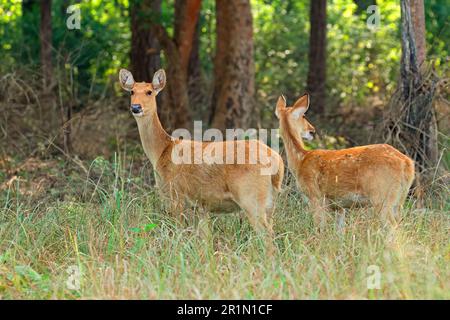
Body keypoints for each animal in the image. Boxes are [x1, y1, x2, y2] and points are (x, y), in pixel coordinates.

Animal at [118, 68, 284, 248]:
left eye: (149, 91)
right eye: (132, 91)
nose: (135, 107)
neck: (162, 151)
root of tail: (278, 161)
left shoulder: (175, 193)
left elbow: (178, 232)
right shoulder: (202, 205)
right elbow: (205, 240)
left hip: (251, 197)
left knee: (267, 236)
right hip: (271, 201)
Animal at [276, 92, 416, 228]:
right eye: (304, 116)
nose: (312, 131)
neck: (301, 160)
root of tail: (407, 163)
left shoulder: (316, 197)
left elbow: (319, 229)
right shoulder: (339, 207)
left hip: (382, 195)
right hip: (399, 199)